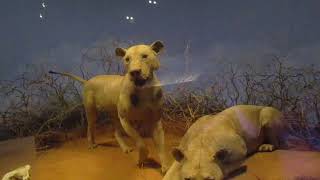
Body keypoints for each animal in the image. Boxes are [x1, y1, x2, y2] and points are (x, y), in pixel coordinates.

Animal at [48, 40, 170, 173]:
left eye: (145, 56)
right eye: (127, 59)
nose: (134, 72)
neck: (144, 90)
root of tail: (88, 81)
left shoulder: (156, 121)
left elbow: (161, 146)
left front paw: (165, 167)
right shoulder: (124, 118)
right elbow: (140, 143)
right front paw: (142, 159)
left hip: (113, 113)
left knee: (115, 132)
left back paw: (125, 148)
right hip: (92, 111)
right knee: (90, 127)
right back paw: (91, 144)